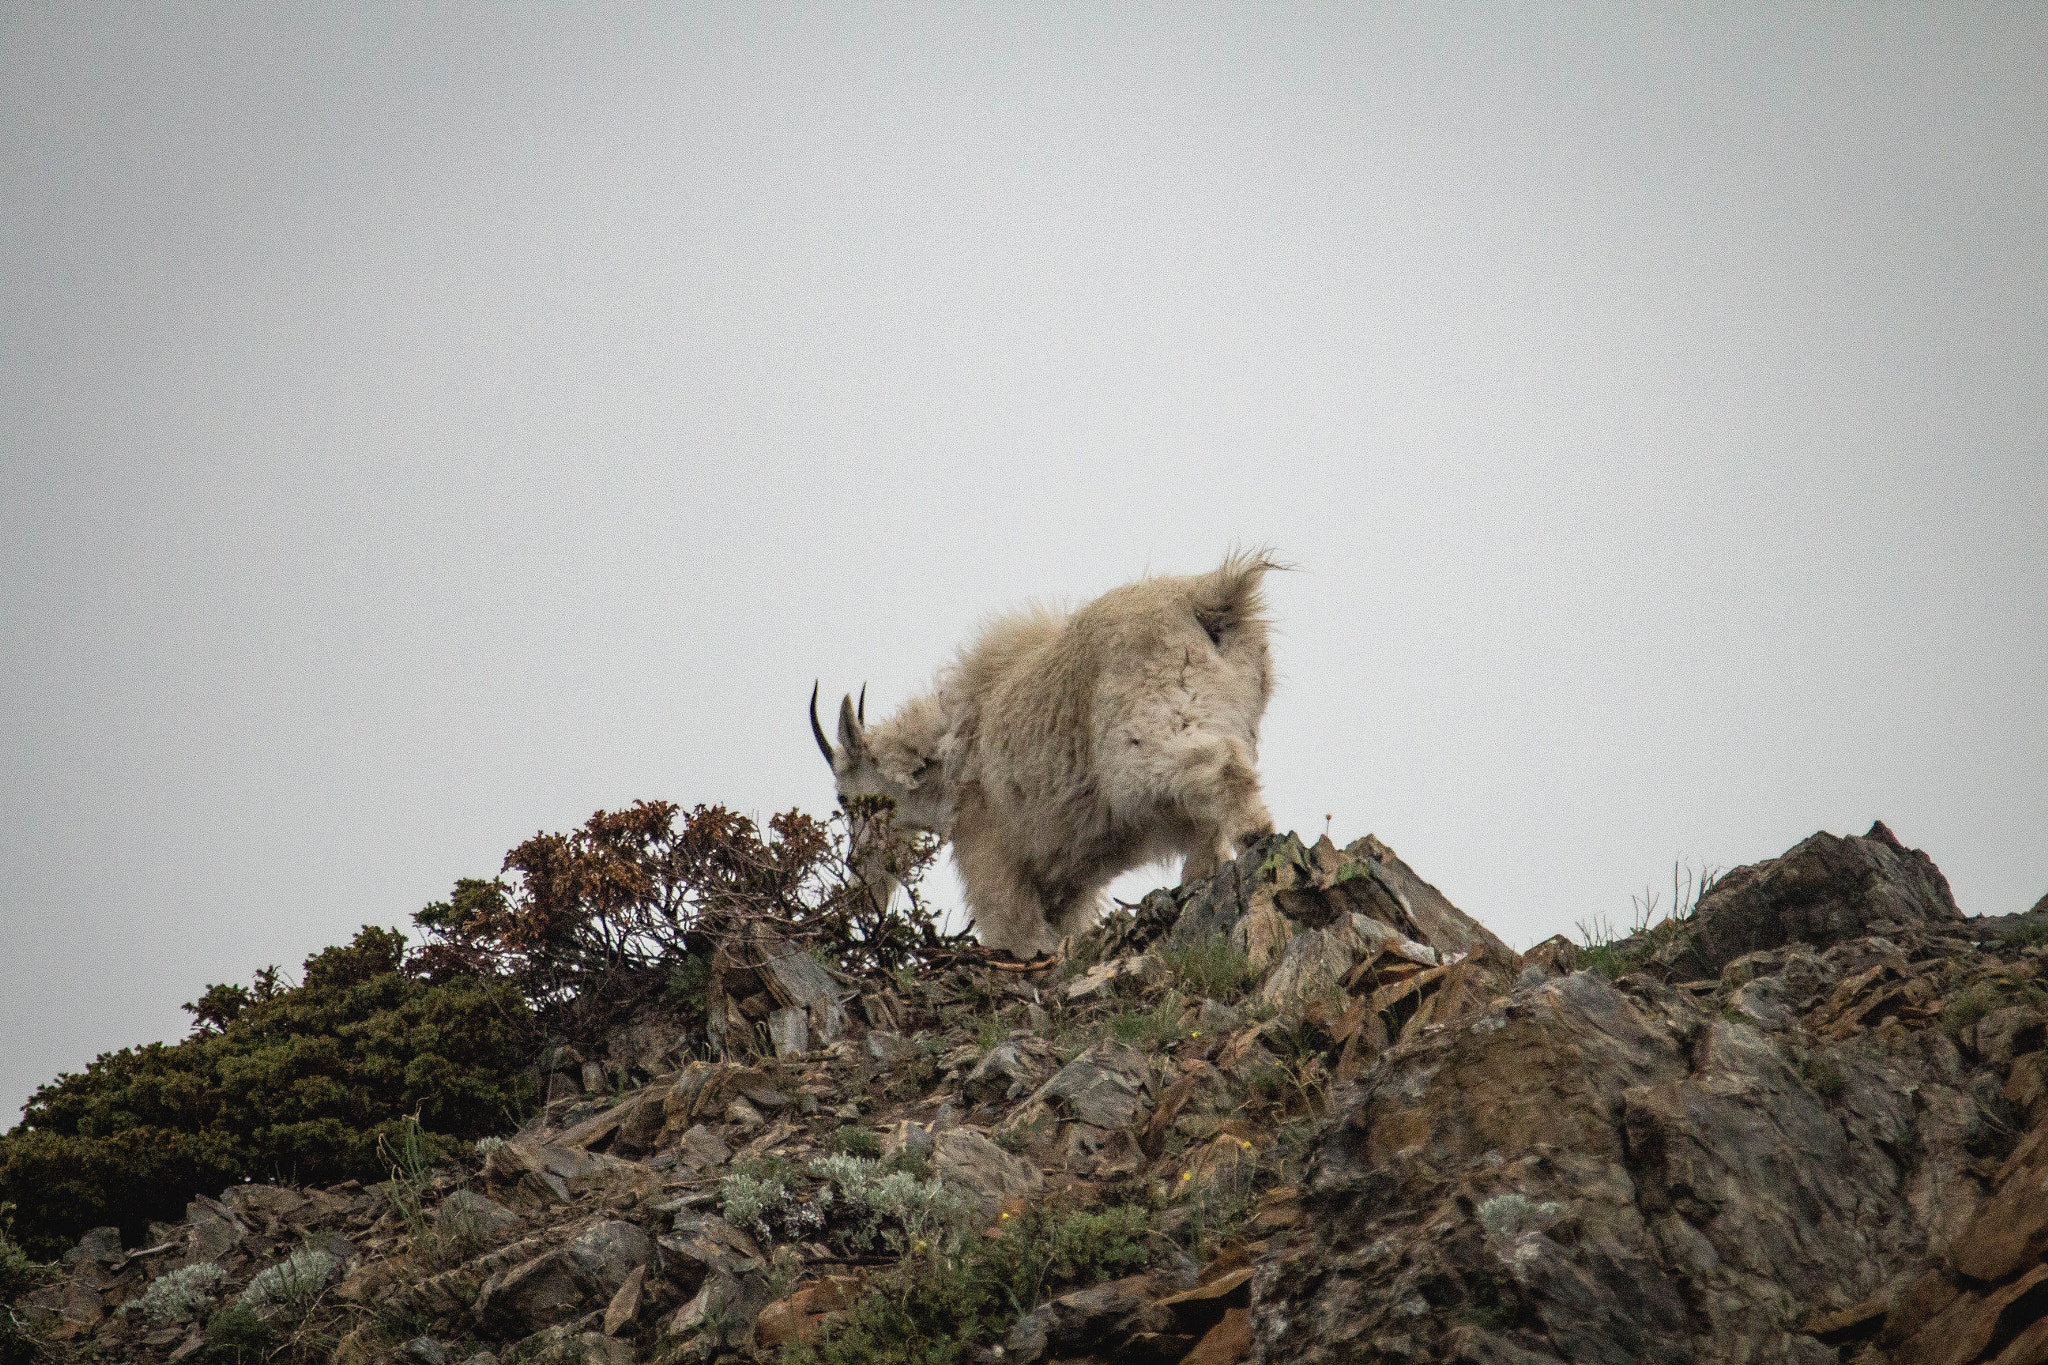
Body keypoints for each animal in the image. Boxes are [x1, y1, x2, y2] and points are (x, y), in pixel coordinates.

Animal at [811, 551, 1280, 957]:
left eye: (842, 798)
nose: (860, 883)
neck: (947, 760)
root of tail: (1208, 599)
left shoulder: (990, 851)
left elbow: (1017, 932)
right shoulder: (1070, 886)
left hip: (1147, 738)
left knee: (1218, 767)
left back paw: (1254, 835)